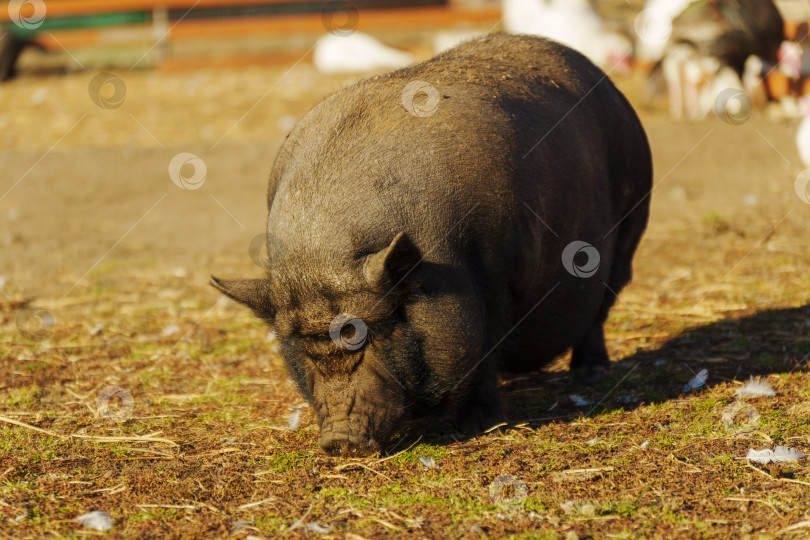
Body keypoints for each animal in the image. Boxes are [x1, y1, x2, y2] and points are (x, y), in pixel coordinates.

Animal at [211, 34, 652, 456]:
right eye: (300, 346)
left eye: (371, 333)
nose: (340, 440)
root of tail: (608, 85)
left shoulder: (499, 285)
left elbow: (486, 357)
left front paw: (480, 425)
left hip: (631, 228)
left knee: (600, 310)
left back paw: (590, 374)